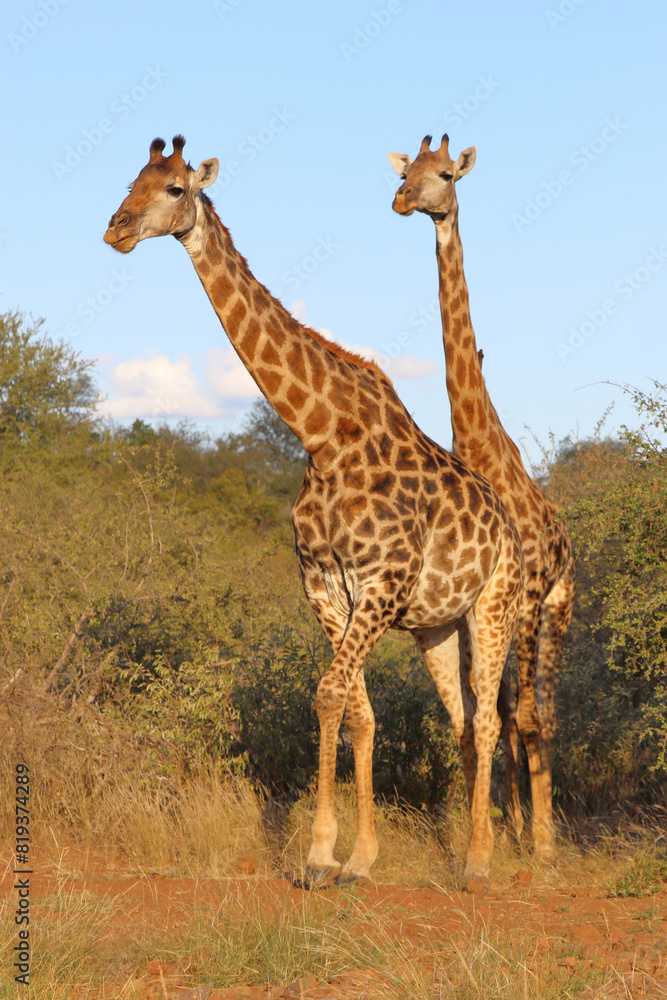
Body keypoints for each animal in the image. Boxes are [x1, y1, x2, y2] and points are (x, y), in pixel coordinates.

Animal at [104, 135, 525, 882]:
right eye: (132, 180)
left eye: (176, 188)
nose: (115, 229)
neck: (323, 434)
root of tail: (506, 518)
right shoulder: (325, 585)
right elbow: (355, 708)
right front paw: (344, 857)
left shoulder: (381, 583)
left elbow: (331, 693)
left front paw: (328, 852)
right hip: (438, 627)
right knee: (463, 717)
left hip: (493, 605)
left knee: (487, 718)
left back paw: (478, 861)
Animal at [389, 134, 576, 858]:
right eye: (405, 170)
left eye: (444, 174)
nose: (402, 200)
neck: (476, 444)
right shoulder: (468, 603)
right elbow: (478, 716)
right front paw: (499, 832)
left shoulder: (519, 599)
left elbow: (518, 716)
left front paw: (538, 843)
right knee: (508, 709)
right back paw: (521, 823)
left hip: (553, 609)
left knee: (541, 711)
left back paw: (544, 834)